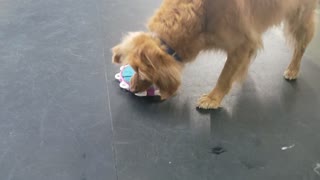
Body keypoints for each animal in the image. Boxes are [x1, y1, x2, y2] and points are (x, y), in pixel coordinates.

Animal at [112, 0, 318, 109]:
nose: (131, 88)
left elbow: (224, 76)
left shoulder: (240, 43)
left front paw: (213, 98)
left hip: (299, 17)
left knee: (300, 47)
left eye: (143, 74)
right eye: (132, 69)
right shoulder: (248, 39)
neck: (200, 13)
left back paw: (293, 69)